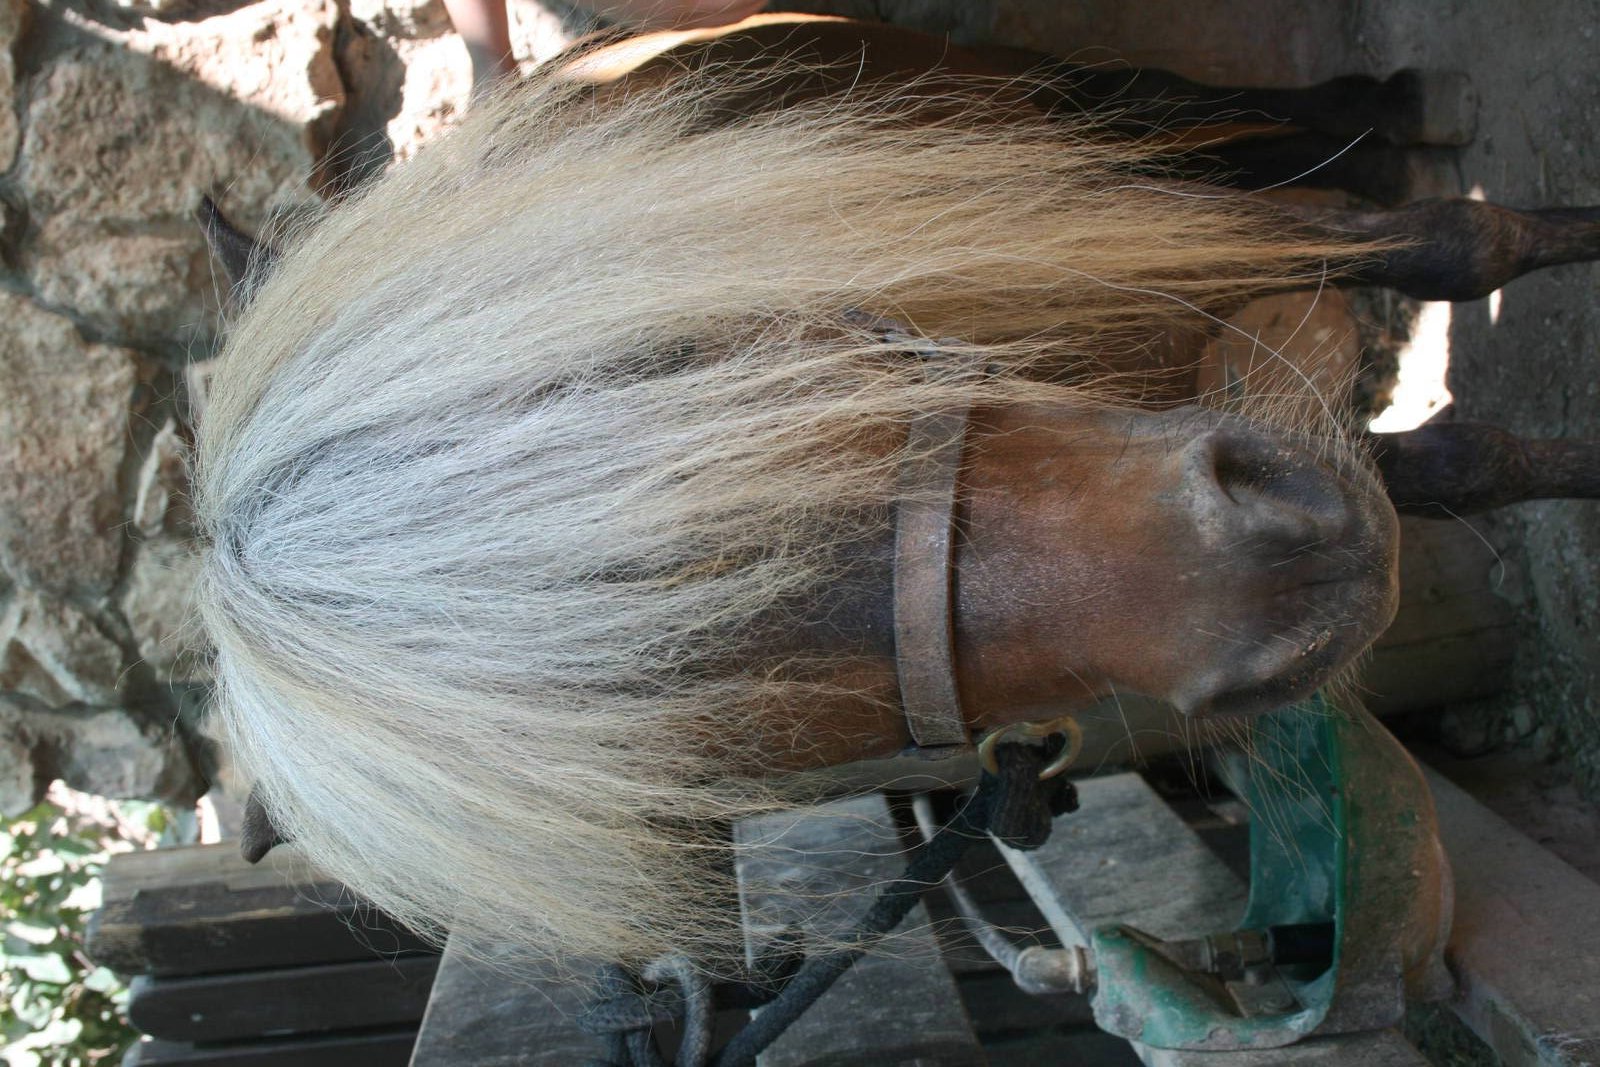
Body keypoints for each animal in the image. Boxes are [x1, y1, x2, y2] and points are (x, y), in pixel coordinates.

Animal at [194, 14, 1600, 975]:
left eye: (672, 360)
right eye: (709, 741)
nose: (1283, 575)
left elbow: (1454, 245)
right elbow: (1453, 463)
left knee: (1184, 108)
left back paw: (1397, 107)